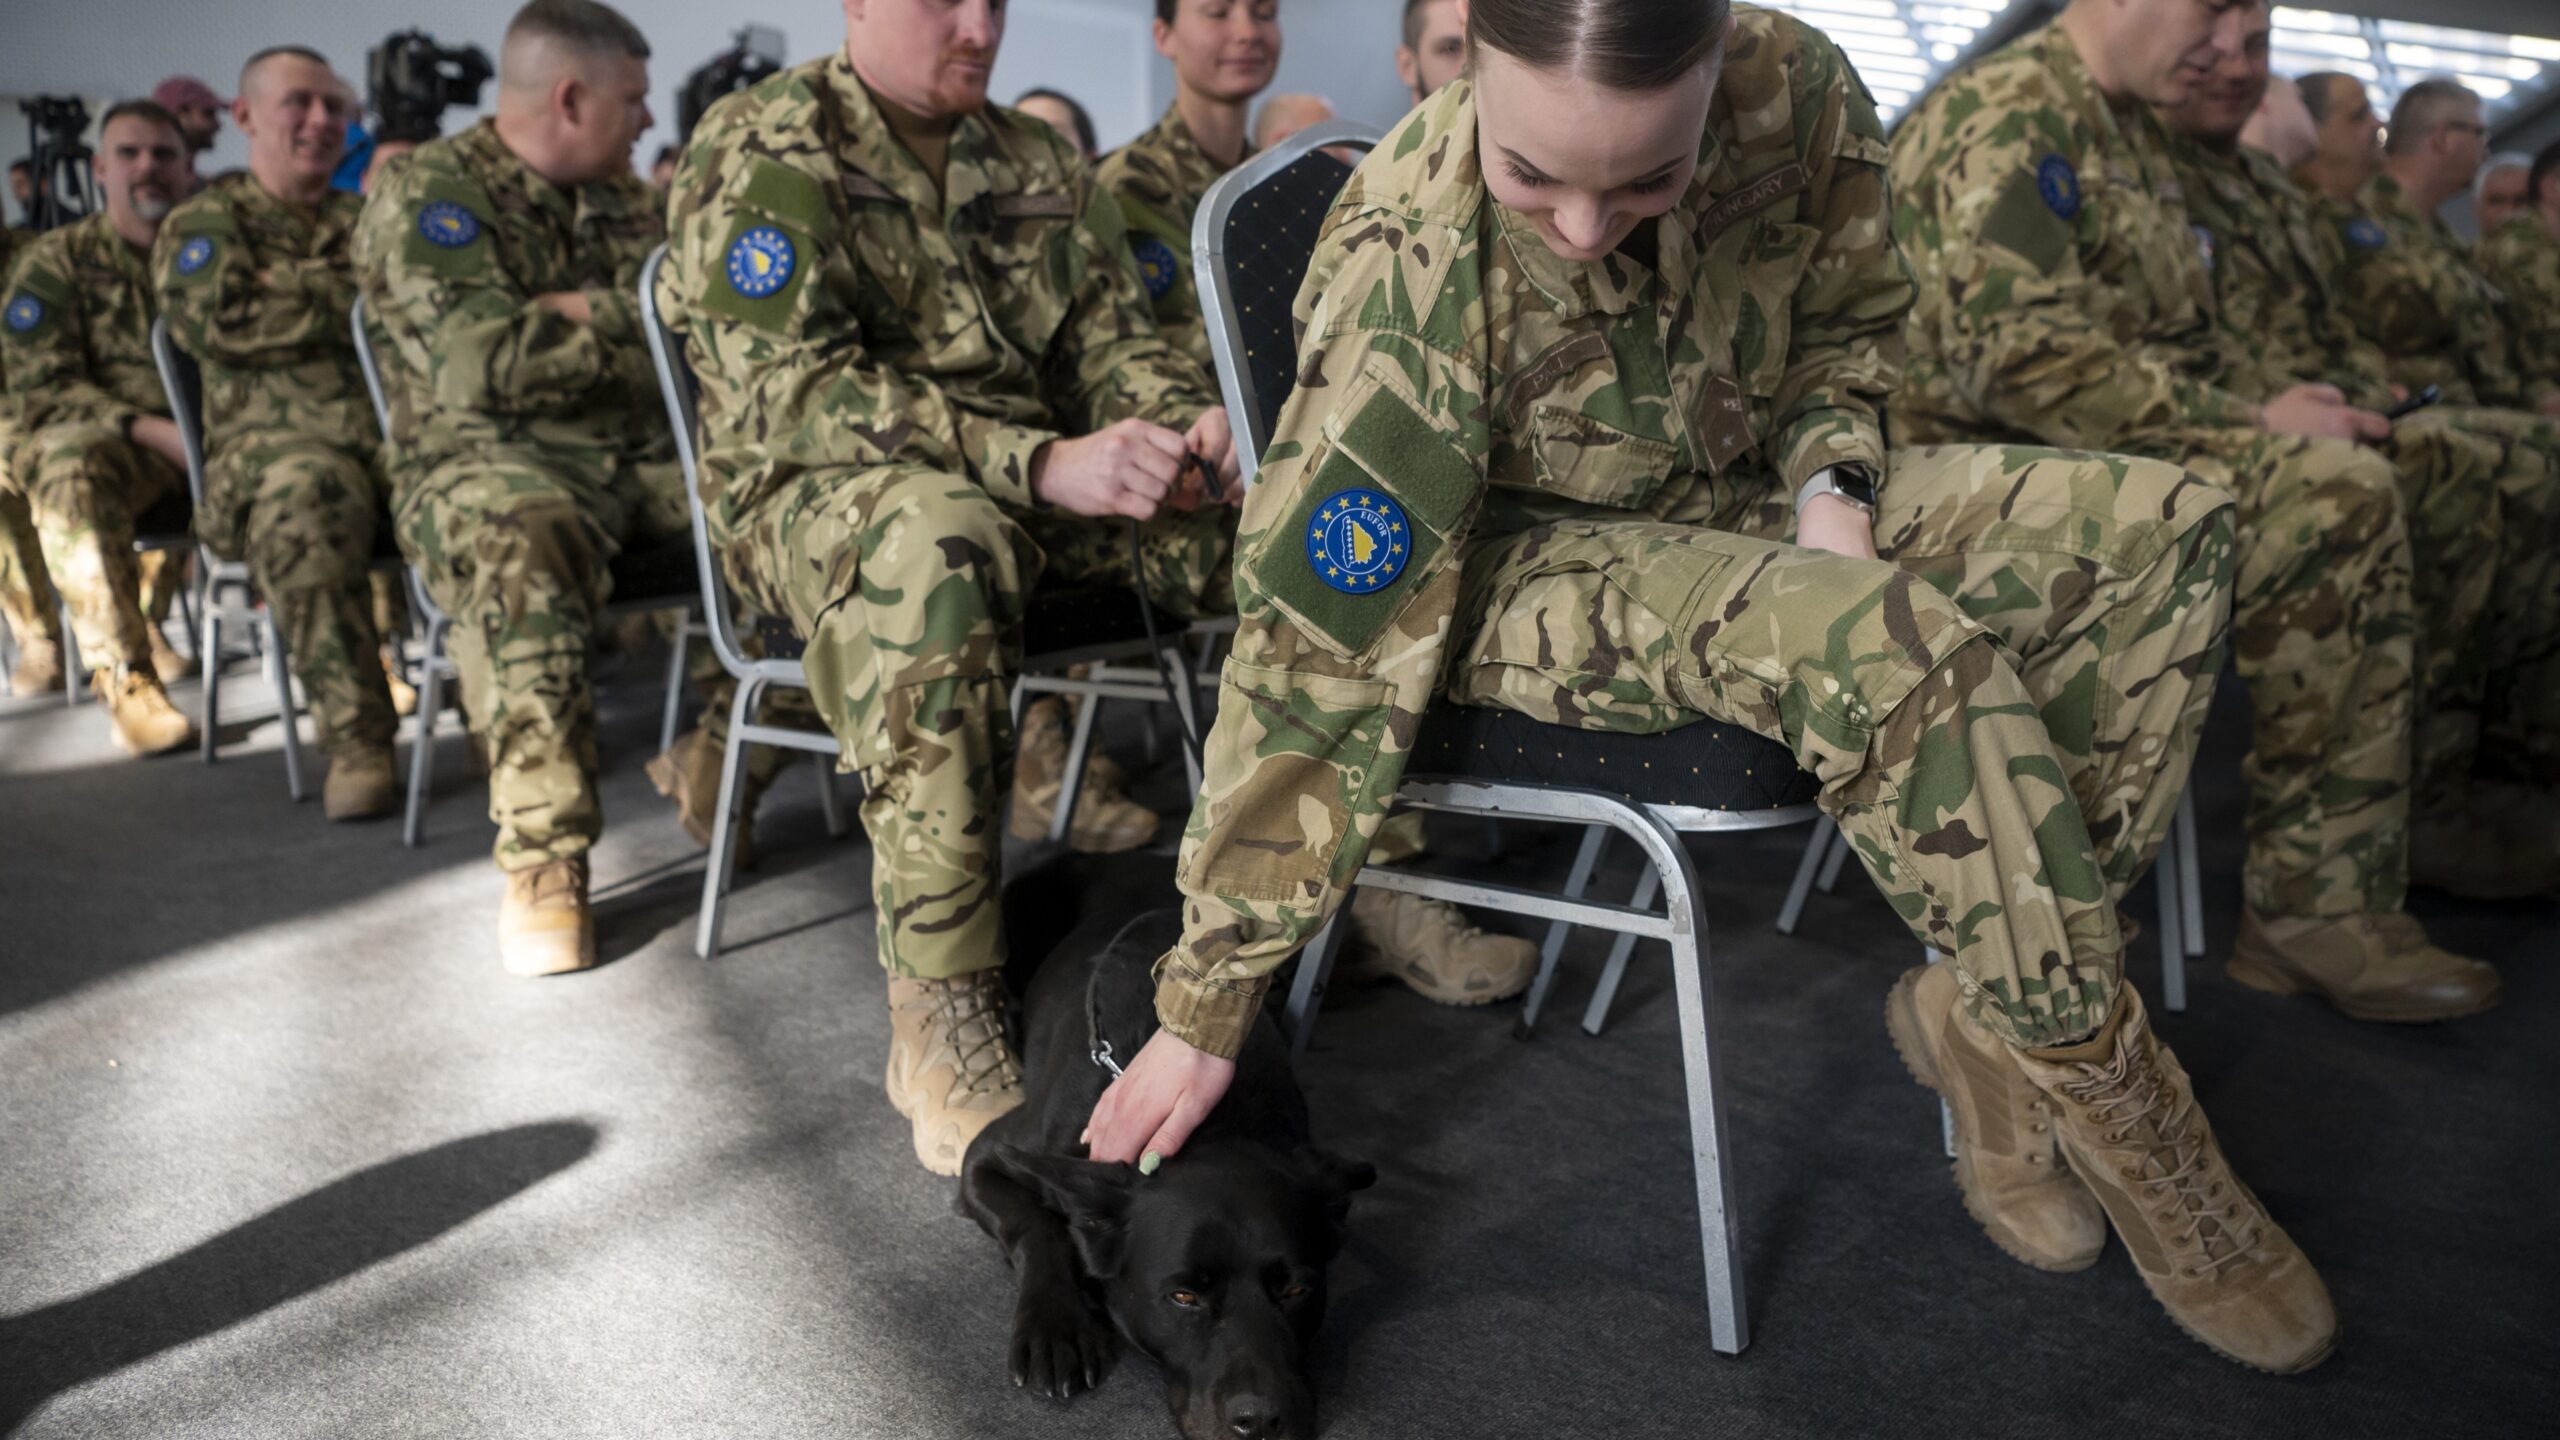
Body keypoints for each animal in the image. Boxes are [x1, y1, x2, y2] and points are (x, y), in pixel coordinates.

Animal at [962, 850, 1372, 1434]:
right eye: (1183, 1297)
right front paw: (1055, 1326)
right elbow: (1037, 1225)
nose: (1261, 1422)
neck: (1209, 1124)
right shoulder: (987, 1156)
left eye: (1296, 1290)